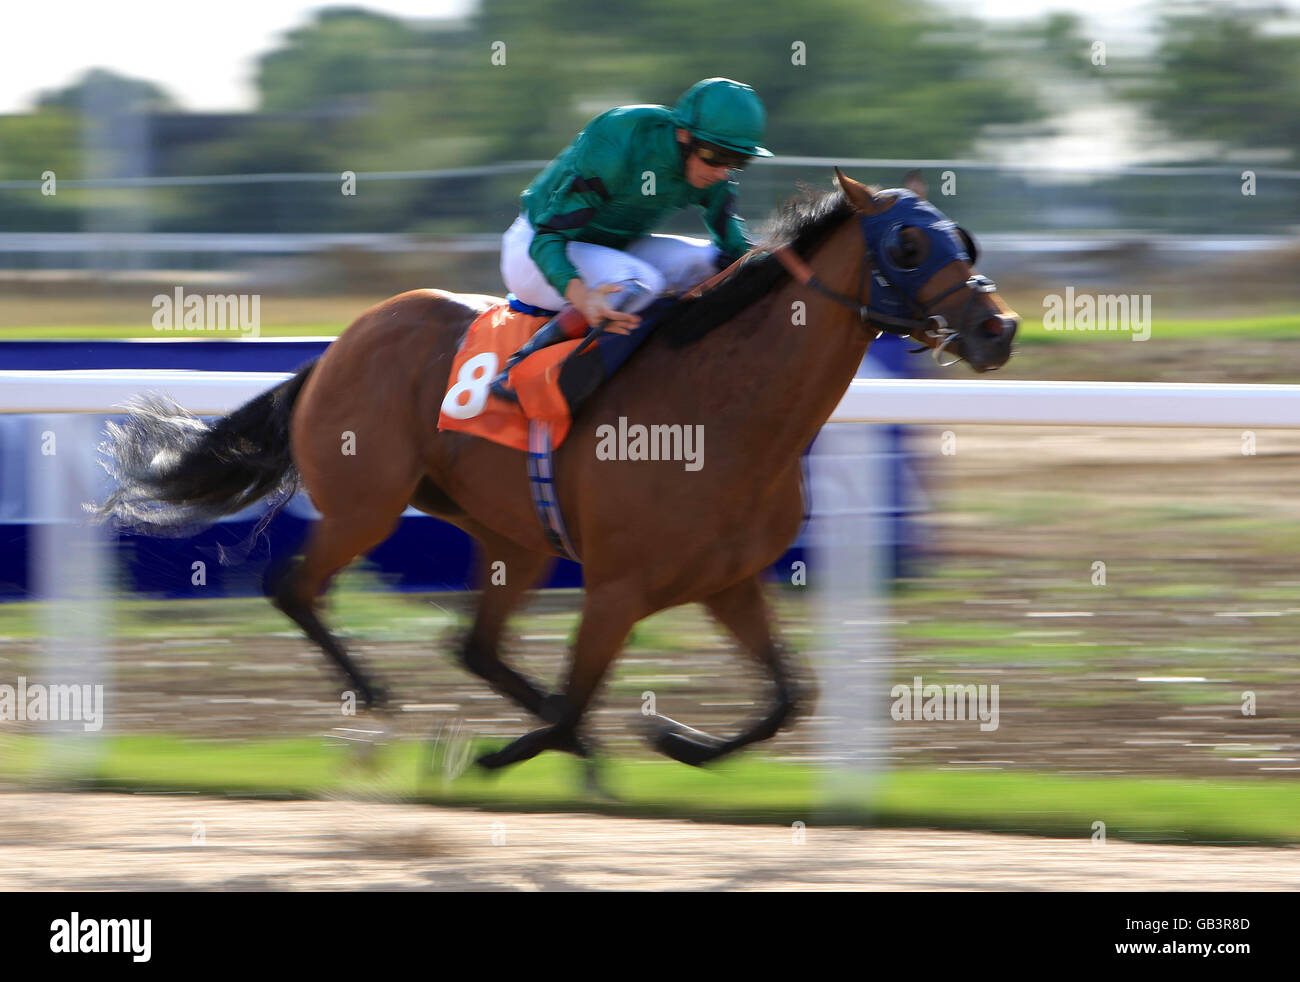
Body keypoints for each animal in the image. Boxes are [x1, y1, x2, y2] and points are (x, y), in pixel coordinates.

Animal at [96, 174, 1019, 775]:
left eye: (964, 238)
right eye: (908, 242)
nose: (999, 327)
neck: (726, 409)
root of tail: (336, 347)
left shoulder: (728, 581)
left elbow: (789, 697)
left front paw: (674, 741)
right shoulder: (616, 586)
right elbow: (579, 699)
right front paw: (503, 756)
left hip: (514, 537)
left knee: (474, 643)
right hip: (368, 504)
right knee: (291, 585)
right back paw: (378, 692)